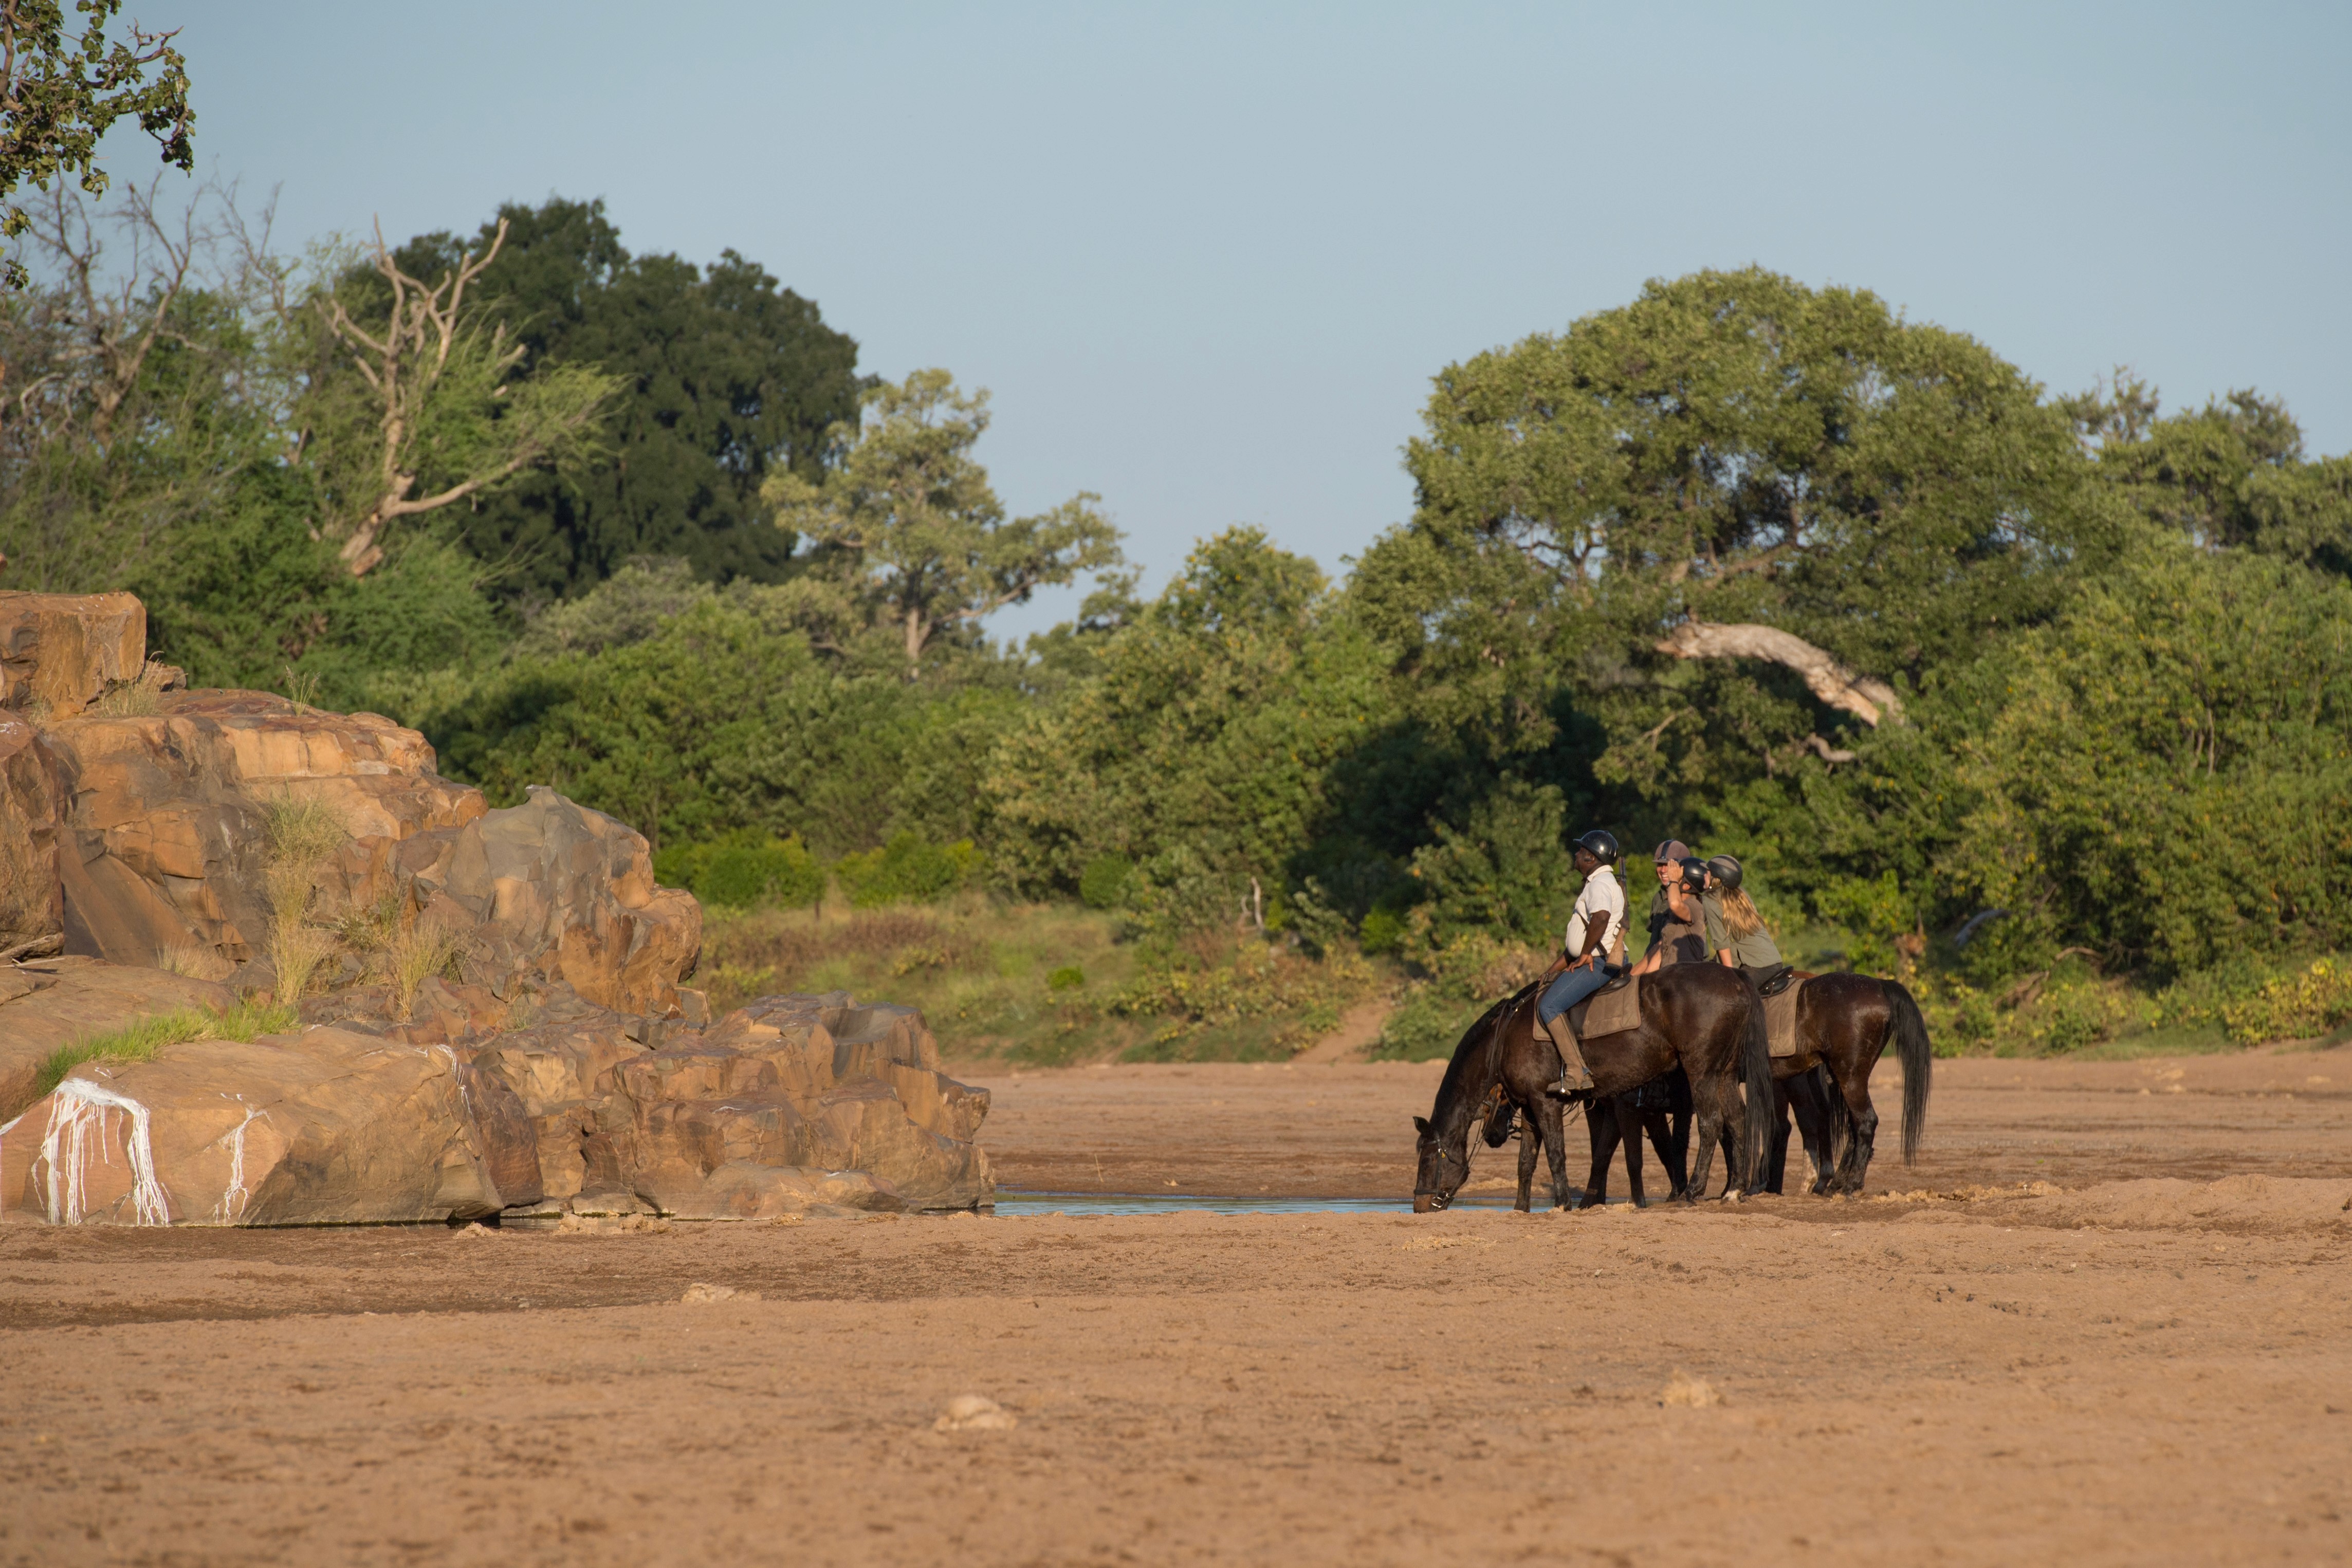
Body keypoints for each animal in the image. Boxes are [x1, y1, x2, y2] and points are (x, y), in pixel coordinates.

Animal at [1411, 961, 1773, 1213]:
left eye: (1428, 1160)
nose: (1419, 1207)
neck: (1505, 1037)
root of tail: (1736, 978)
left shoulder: (1546, 1103)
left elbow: (1557, 1154)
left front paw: (1562, 1204)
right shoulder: (1529, 1107)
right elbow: (1526, 1162)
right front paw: (1520, 1209)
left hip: (1702, 1073)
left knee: (1712, 1123)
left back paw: (1694, 1190)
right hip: (1724, 1074)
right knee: (1737, 1120)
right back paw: (1733, 1190)